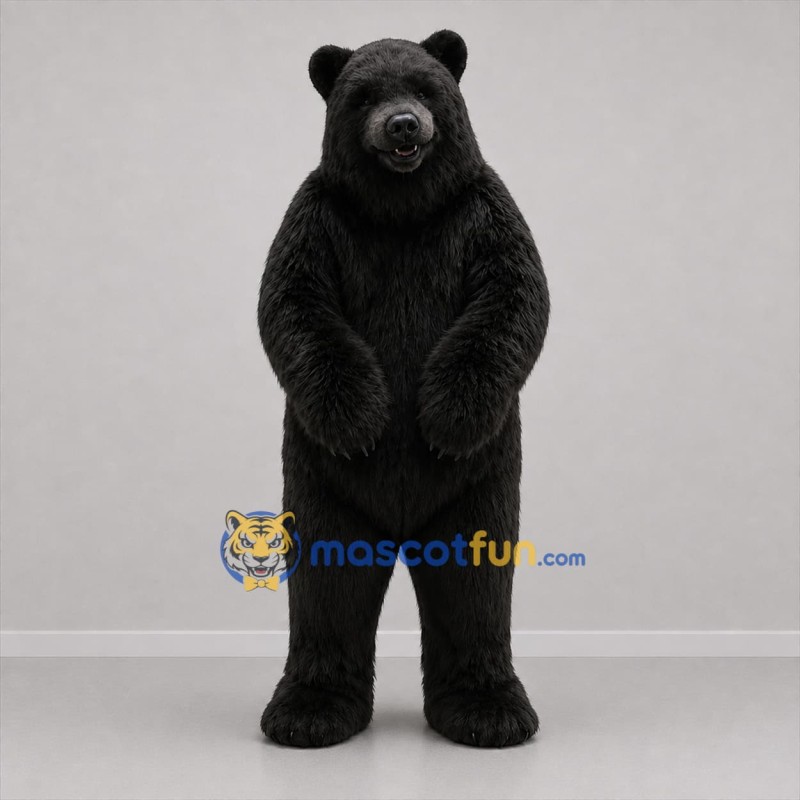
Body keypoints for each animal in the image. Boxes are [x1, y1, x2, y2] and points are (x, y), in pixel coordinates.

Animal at [257, 30, 550, 748]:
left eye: (424, 86)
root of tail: (400, 523)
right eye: (363, 95)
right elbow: (296, 304)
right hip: (319, 481)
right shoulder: (318, 218)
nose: (403, 125)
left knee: (473, 574)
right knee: (328, 580)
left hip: (483, 480)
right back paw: (309, 710)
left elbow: (511, 298)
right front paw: (362, 421)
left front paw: (444, 420)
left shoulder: (481, 210)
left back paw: (489, 710)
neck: (401, 209)